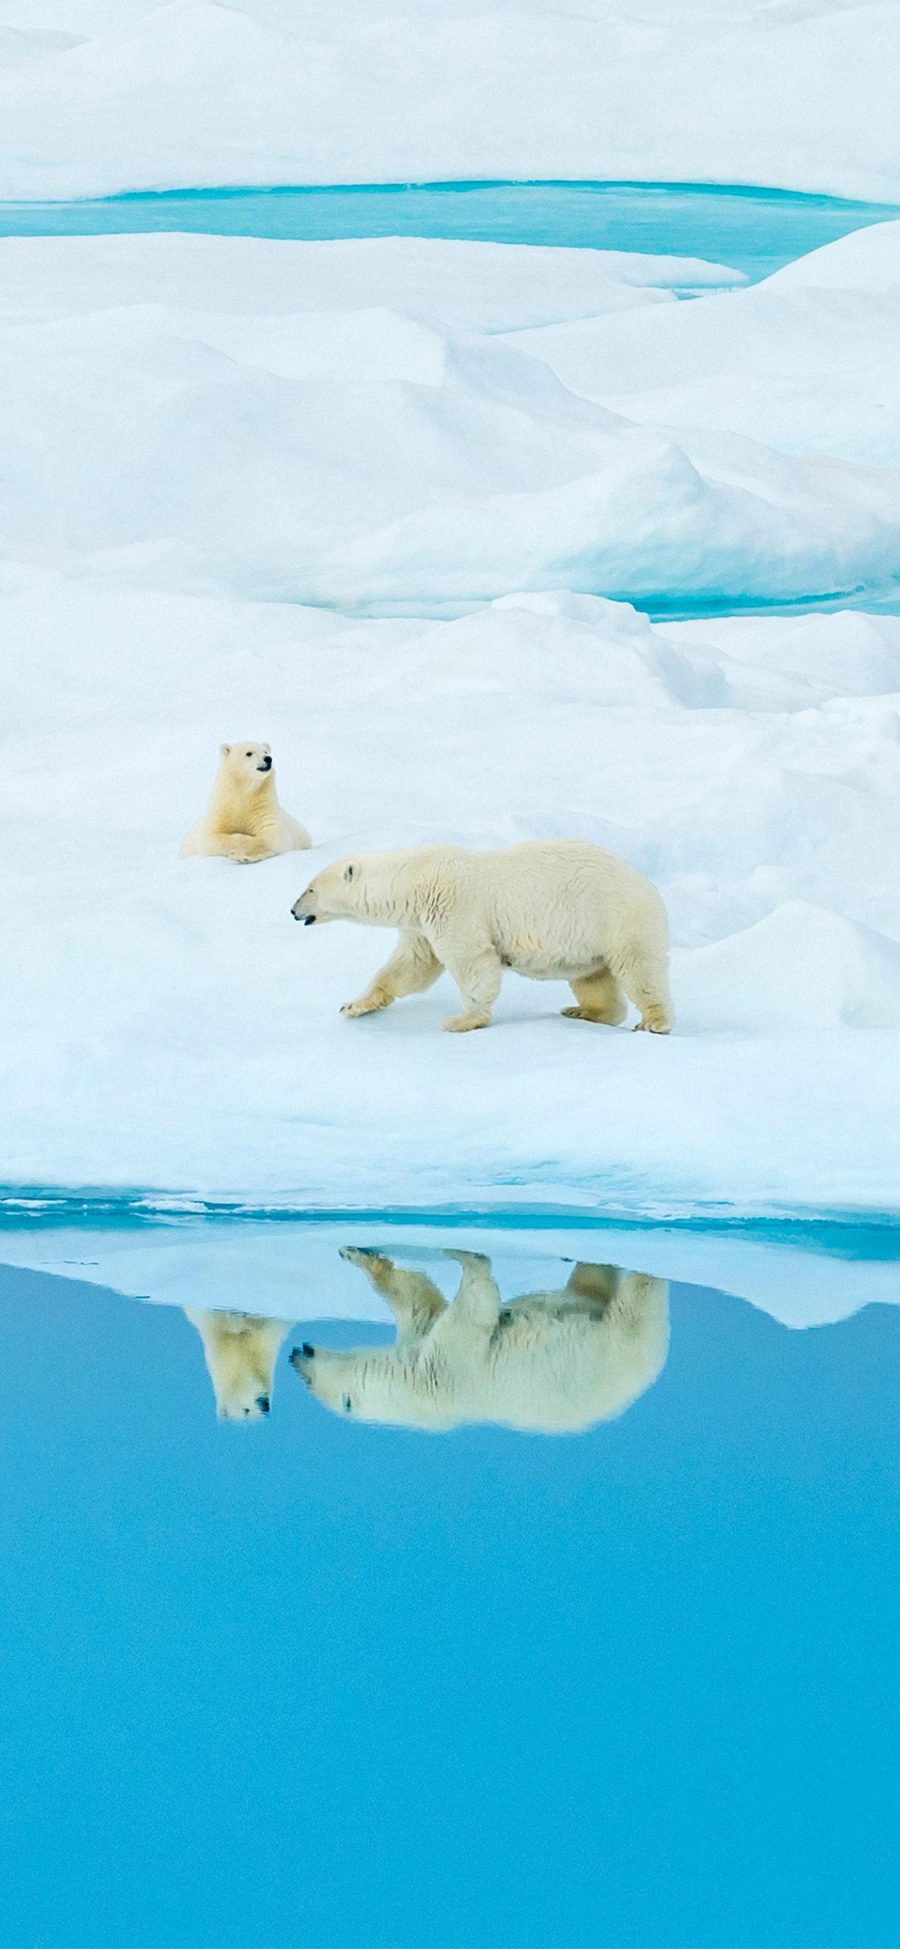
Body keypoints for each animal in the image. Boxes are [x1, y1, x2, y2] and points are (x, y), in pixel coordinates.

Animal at [179, 740, 313, 865]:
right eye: (249, 753)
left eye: (266, 751)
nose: (268, 759)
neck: (243, 793)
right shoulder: (222, 809)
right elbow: (212, 837)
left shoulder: (263, 807)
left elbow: (273, 835)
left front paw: (243, 855)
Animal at [288, 1247, 666, 1434]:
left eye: (309, 1383)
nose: (295, 1354)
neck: (410, 1385)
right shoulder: (443, 1370)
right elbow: (467, 1308)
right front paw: (470, 1258)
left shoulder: (432, 1357)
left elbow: (425, 1300)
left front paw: (360, 1255)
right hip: (619, 1343)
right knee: (617, 1297)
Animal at [292, 838, 670, 1036]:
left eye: (309, 888)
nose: (293, 911)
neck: (415, 880)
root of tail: (648, 885)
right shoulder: (420, 925)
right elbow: (410, 968)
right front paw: (352, 1006)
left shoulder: (453, 906)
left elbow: (472, 962)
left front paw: (461, 1020)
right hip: (588, 939)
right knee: (593, 977)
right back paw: (582, 1011)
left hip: (617, 917)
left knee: (640, 969)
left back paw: (653, 1022)